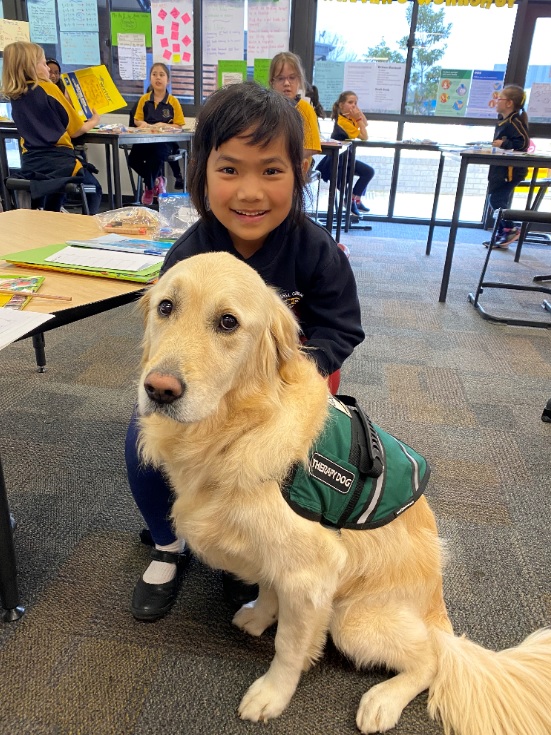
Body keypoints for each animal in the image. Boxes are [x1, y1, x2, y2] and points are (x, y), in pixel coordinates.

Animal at [137, 252, 551, 735]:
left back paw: (382, 701)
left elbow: (290, 646)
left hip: (354, 619)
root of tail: (439, 613)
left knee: (432, 660)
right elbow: (270, 587)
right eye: (166, 307)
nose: (159, 389)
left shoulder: (313, 573)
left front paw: (272, 694)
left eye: (227, 322)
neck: (235, 430)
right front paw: (260, 615)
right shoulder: (276, 556)